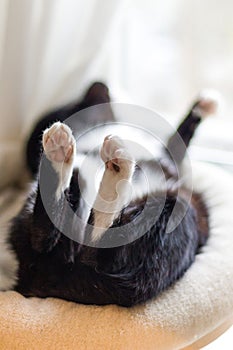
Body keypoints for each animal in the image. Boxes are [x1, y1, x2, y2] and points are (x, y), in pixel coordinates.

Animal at [0, 82, 218, 306]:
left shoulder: (164, 156)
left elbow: (177, 141)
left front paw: (204, 104)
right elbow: (176, 143)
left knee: (47, 238)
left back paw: (61, 152)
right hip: (176, 208)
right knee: (102, 250)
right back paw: (112, 166)